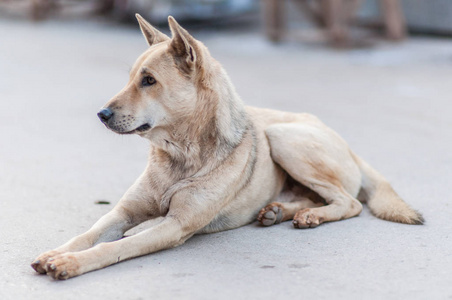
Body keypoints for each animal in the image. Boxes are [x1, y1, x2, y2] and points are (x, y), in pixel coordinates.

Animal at [30, 14, 422, 280]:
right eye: (130, 79)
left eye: (149, 81)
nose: (101, 114)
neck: (180, 155)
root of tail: (348, 145)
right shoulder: (123, 212)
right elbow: (89, 234)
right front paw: (57, 252)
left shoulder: (175, 226)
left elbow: (115, 246)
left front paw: (70, 263)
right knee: (316, 196)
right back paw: (280, 210)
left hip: (282, 137)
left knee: (350, 202)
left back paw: (310, 214)